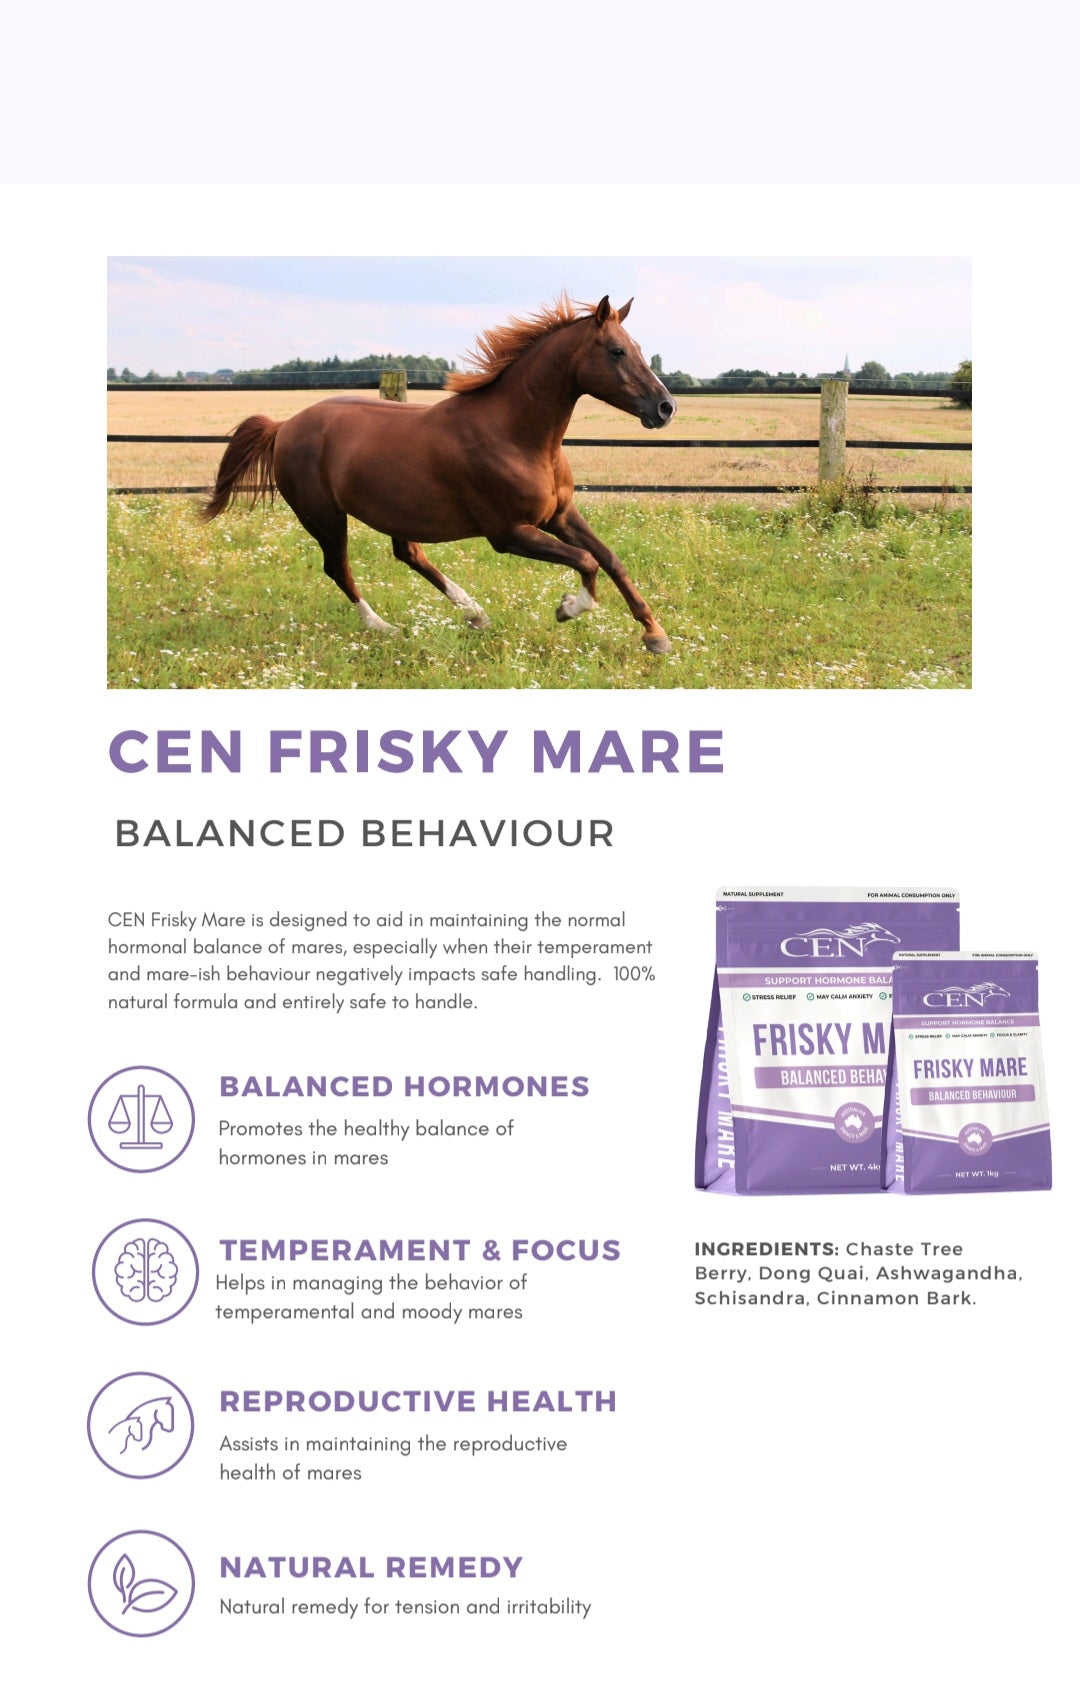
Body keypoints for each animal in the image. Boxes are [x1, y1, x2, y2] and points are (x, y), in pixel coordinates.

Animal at [202, 295, 676, 654]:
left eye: (637, 347)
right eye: (616, 351)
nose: (665, 407)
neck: (516, 435)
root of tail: (284, 426)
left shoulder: (559, 515)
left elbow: (609, 558)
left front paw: (655, 635)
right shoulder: (508, 533)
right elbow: (586, 560)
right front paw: (568, 609)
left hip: (394, 510)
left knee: (408, 555)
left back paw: (475, 613)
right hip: (323, 516)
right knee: (339, 568)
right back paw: (384, 627)